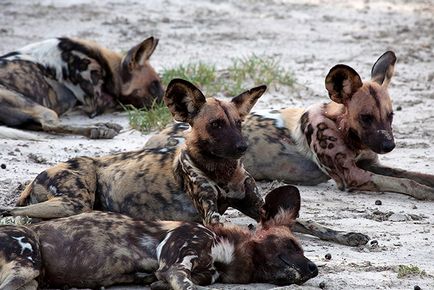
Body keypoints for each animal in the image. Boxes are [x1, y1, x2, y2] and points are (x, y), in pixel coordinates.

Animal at [0, 36, 164, 138]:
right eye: (154, 84)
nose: (165, 104)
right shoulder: (100, 105)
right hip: (42, 109)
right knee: (49, 124)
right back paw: (97, 129)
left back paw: (103, 126)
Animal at [0, 186, 318, 290]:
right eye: (291, 245)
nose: (314, 269)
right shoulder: (175, 265)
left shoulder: (175, 274)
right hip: (27, 262)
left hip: (32, 279)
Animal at [146, 51, 434, 199]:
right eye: (365, 117)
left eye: (391, 115)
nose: (389, 145)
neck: (342, 128)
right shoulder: (352, 176)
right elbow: (408, 184)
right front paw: (427, 194)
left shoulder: (370, 164)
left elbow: (415, 176)